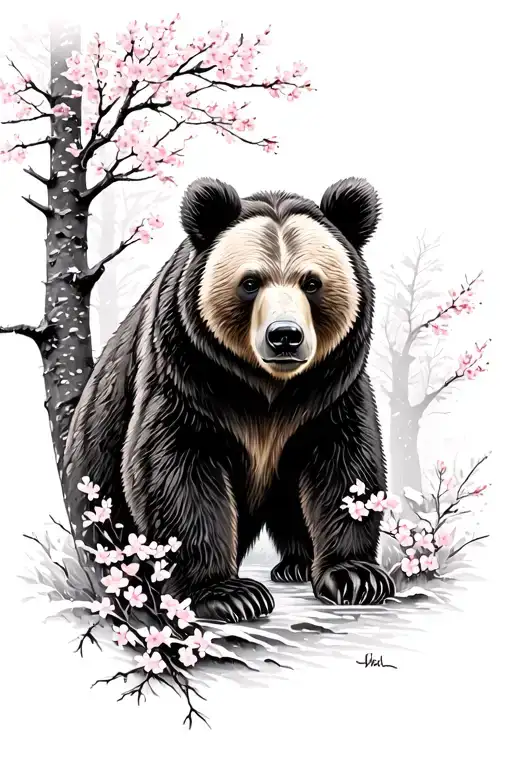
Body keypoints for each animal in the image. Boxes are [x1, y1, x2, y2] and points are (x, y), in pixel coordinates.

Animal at [63, 175, 395, 623]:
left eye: (312, 282)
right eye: (250, 282)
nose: (285, 336)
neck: (269, 387)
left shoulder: (330, 388)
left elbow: (345, 464)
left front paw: (357, 575)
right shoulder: (185, 373)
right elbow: (175, 467)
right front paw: (228, 593)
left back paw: (297, 563)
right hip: (94, 486)